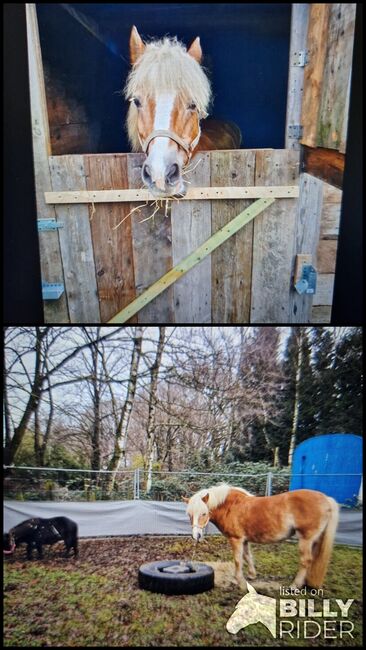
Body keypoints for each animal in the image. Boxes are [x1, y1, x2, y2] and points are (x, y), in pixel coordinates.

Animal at [184, 484, 338, 588]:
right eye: (189, 515)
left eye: (204, 513)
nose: (196, 535)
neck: (230, 506)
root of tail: (326, 499)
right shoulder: (244, 540)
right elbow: (247, 557)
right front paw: (252, 575)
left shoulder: (236, 540)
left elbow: (238, 560)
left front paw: (239, 581)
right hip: (315, 541)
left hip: (306, 539)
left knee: (306, 560)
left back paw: (295, 585)